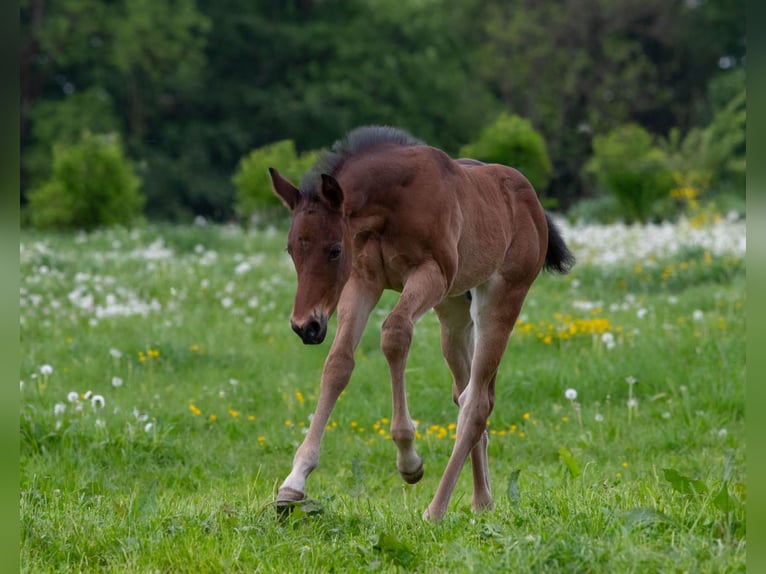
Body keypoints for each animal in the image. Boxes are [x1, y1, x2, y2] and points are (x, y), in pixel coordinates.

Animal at [268, 125, 574, 522]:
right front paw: (293, 483)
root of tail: (532, 201)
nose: (306, 327)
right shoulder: (363, 281)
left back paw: (436, 509)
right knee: (467, 393)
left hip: (500, 300)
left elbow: (394, 334)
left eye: (335, 249)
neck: (392, 205)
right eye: (292, 249)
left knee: (476, 403)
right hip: (454, 314)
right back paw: (482, 501)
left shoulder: (430, 273)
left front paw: (409, 461)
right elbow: (338, 364)